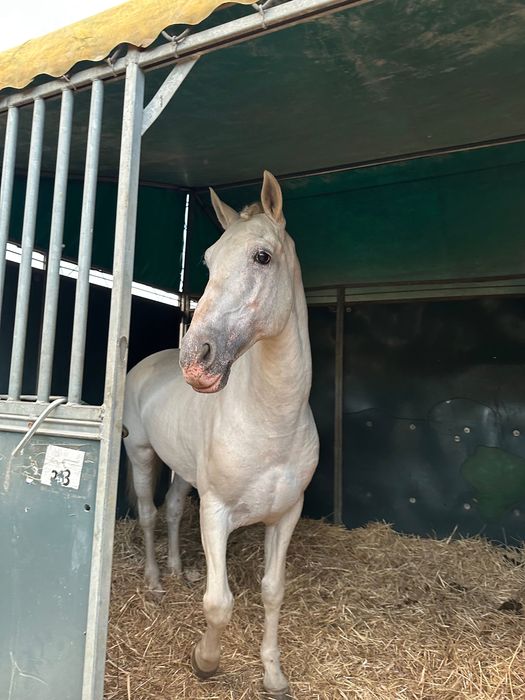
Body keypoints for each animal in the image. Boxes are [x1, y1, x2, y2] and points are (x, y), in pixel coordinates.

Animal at [122, 171, 319, 698]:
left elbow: (273, 591)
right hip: (141, 454)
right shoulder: (215, 514)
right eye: (208, 261)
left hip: (183, 471)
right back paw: (155, 581)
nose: (196, 358)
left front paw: (273, 674)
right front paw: (205, 662)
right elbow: (219, 603)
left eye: (262, 256)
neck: (271, 421)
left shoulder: (286, 515)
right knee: (149, 514)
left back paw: (176, 570)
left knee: (172, 510)